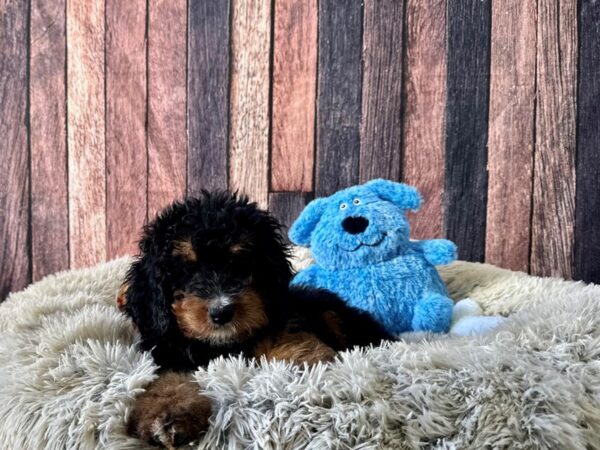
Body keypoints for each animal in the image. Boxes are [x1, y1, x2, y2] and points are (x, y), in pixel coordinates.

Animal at [122, 192, 394, 448]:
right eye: (185, 269)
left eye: (241, 262)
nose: (222, 311)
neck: (226, 345)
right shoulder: (168, 351)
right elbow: (168, 382)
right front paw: (166, 416)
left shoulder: (283, 318)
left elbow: (289, 340)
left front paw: (305, 370)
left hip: (332, 314)